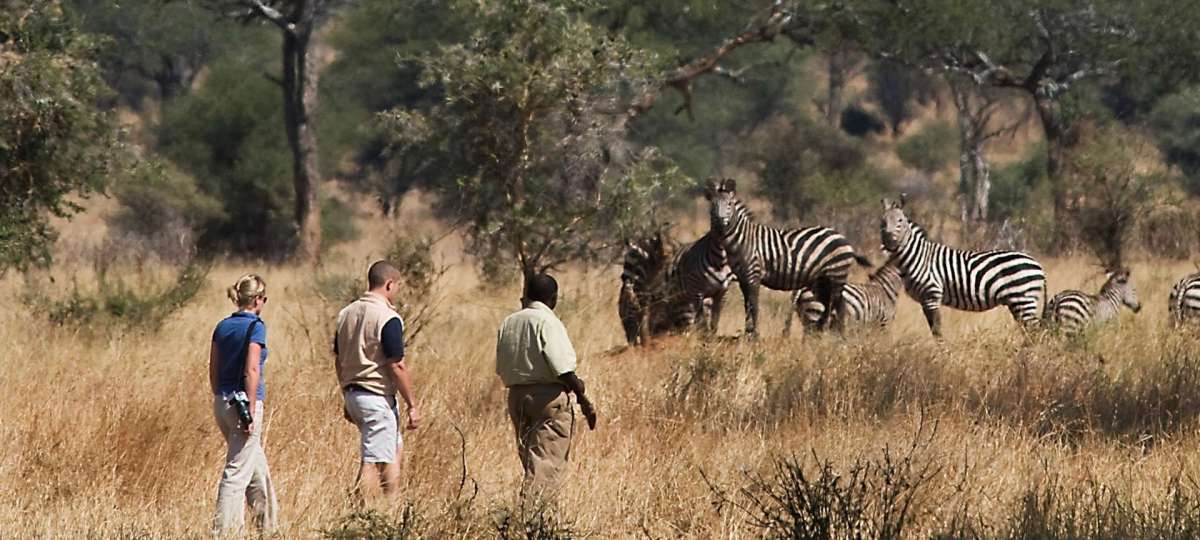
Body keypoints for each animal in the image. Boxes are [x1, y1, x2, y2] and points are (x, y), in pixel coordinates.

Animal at [700, 178, 873, 336]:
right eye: (713, 206)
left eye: (729, 204)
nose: (721, 222)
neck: (741, 239)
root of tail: (842, 237)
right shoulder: (743, 278)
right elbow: (747, 306)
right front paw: (748, 332)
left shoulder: (753, 275)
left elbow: (754, 306)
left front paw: (753, 336)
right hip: (821, 281)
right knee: (828, 306)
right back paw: (822, 333)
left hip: (836, 274)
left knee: (840, 306)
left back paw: (839, 336)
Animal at [878, 194, 1046, 338]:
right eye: (883, 222)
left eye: (900, 221)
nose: (888, 241)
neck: (917, 256)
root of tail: (1038, 265)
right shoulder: (925, 300)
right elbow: (934, 329)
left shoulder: (931, 295)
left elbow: (937, 330)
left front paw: (942, 352)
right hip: (1018, 302)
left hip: (1023, 299)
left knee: (1034, 332)